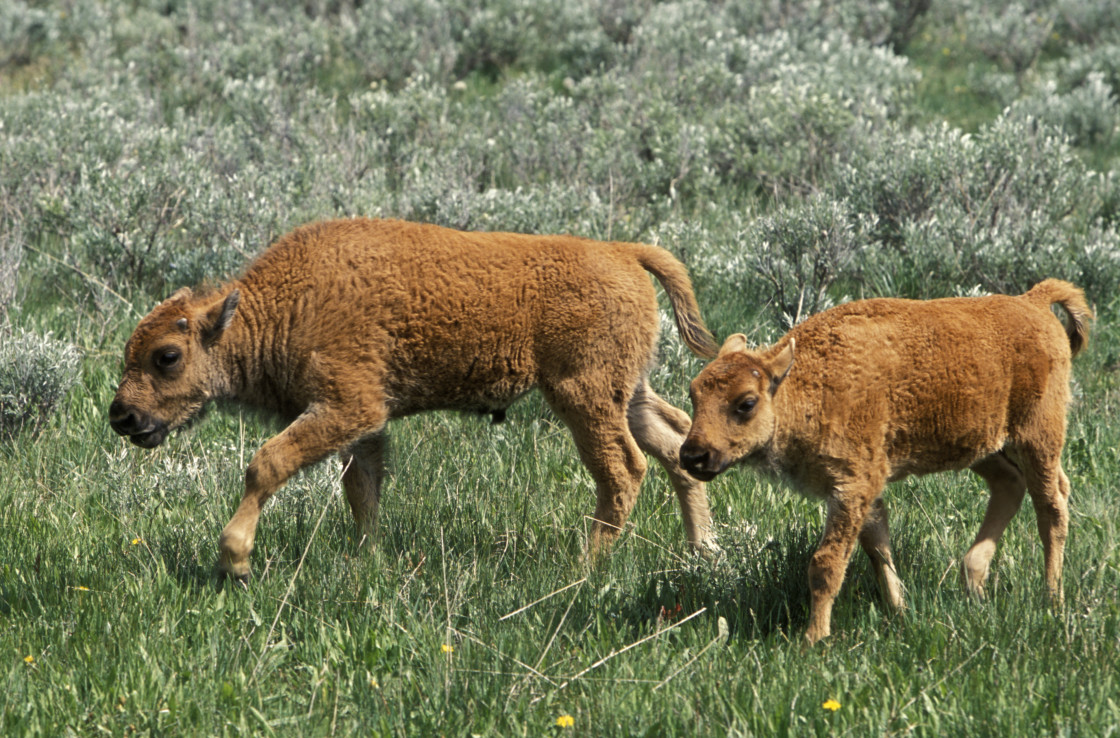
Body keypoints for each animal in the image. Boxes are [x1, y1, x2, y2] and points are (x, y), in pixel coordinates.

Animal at [111, 216, 716, 582]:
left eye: (167, 356)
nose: (123, 416)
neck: (283, 305)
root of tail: (623, 252)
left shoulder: (348, 407)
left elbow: (267, 463)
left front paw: (234, 560)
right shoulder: (363, 424)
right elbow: (363, 491)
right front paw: (368, 561)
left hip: (582, 394)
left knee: (623, 469)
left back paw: (582, 569)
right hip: (627, 391)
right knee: (673, 447)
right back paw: (703, 550)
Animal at [676, 279, 1088, 645]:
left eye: (746, 403)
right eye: (694, 395)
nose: (693, 456)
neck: (805, 382)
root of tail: (1032, 302)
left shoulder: (852, 485)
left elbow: (826, 563)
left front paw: (813, 638)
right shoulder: (863, 490)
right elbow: (877, 548)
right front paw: (899, 610)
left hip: (1037, 438)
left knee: (1051, 508)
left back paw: (1051, 597)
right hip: (983, 447)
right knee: (1009, 486)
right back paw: (973, 581)